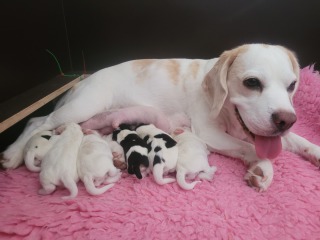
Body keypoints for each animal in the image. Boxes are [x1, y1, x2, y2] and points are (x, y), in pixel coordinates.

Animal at [2, 44, 320, 191]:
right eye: (252, 83)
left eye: (292, 85)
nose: (285, 119)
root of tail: (80, 81)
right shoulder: (210, 133)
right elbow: (251, 149)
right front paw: (262, 166)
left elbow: (298, 140)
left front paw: (313, 151)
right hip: (83, 106)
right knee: (37, 122)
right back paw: (14, 152)